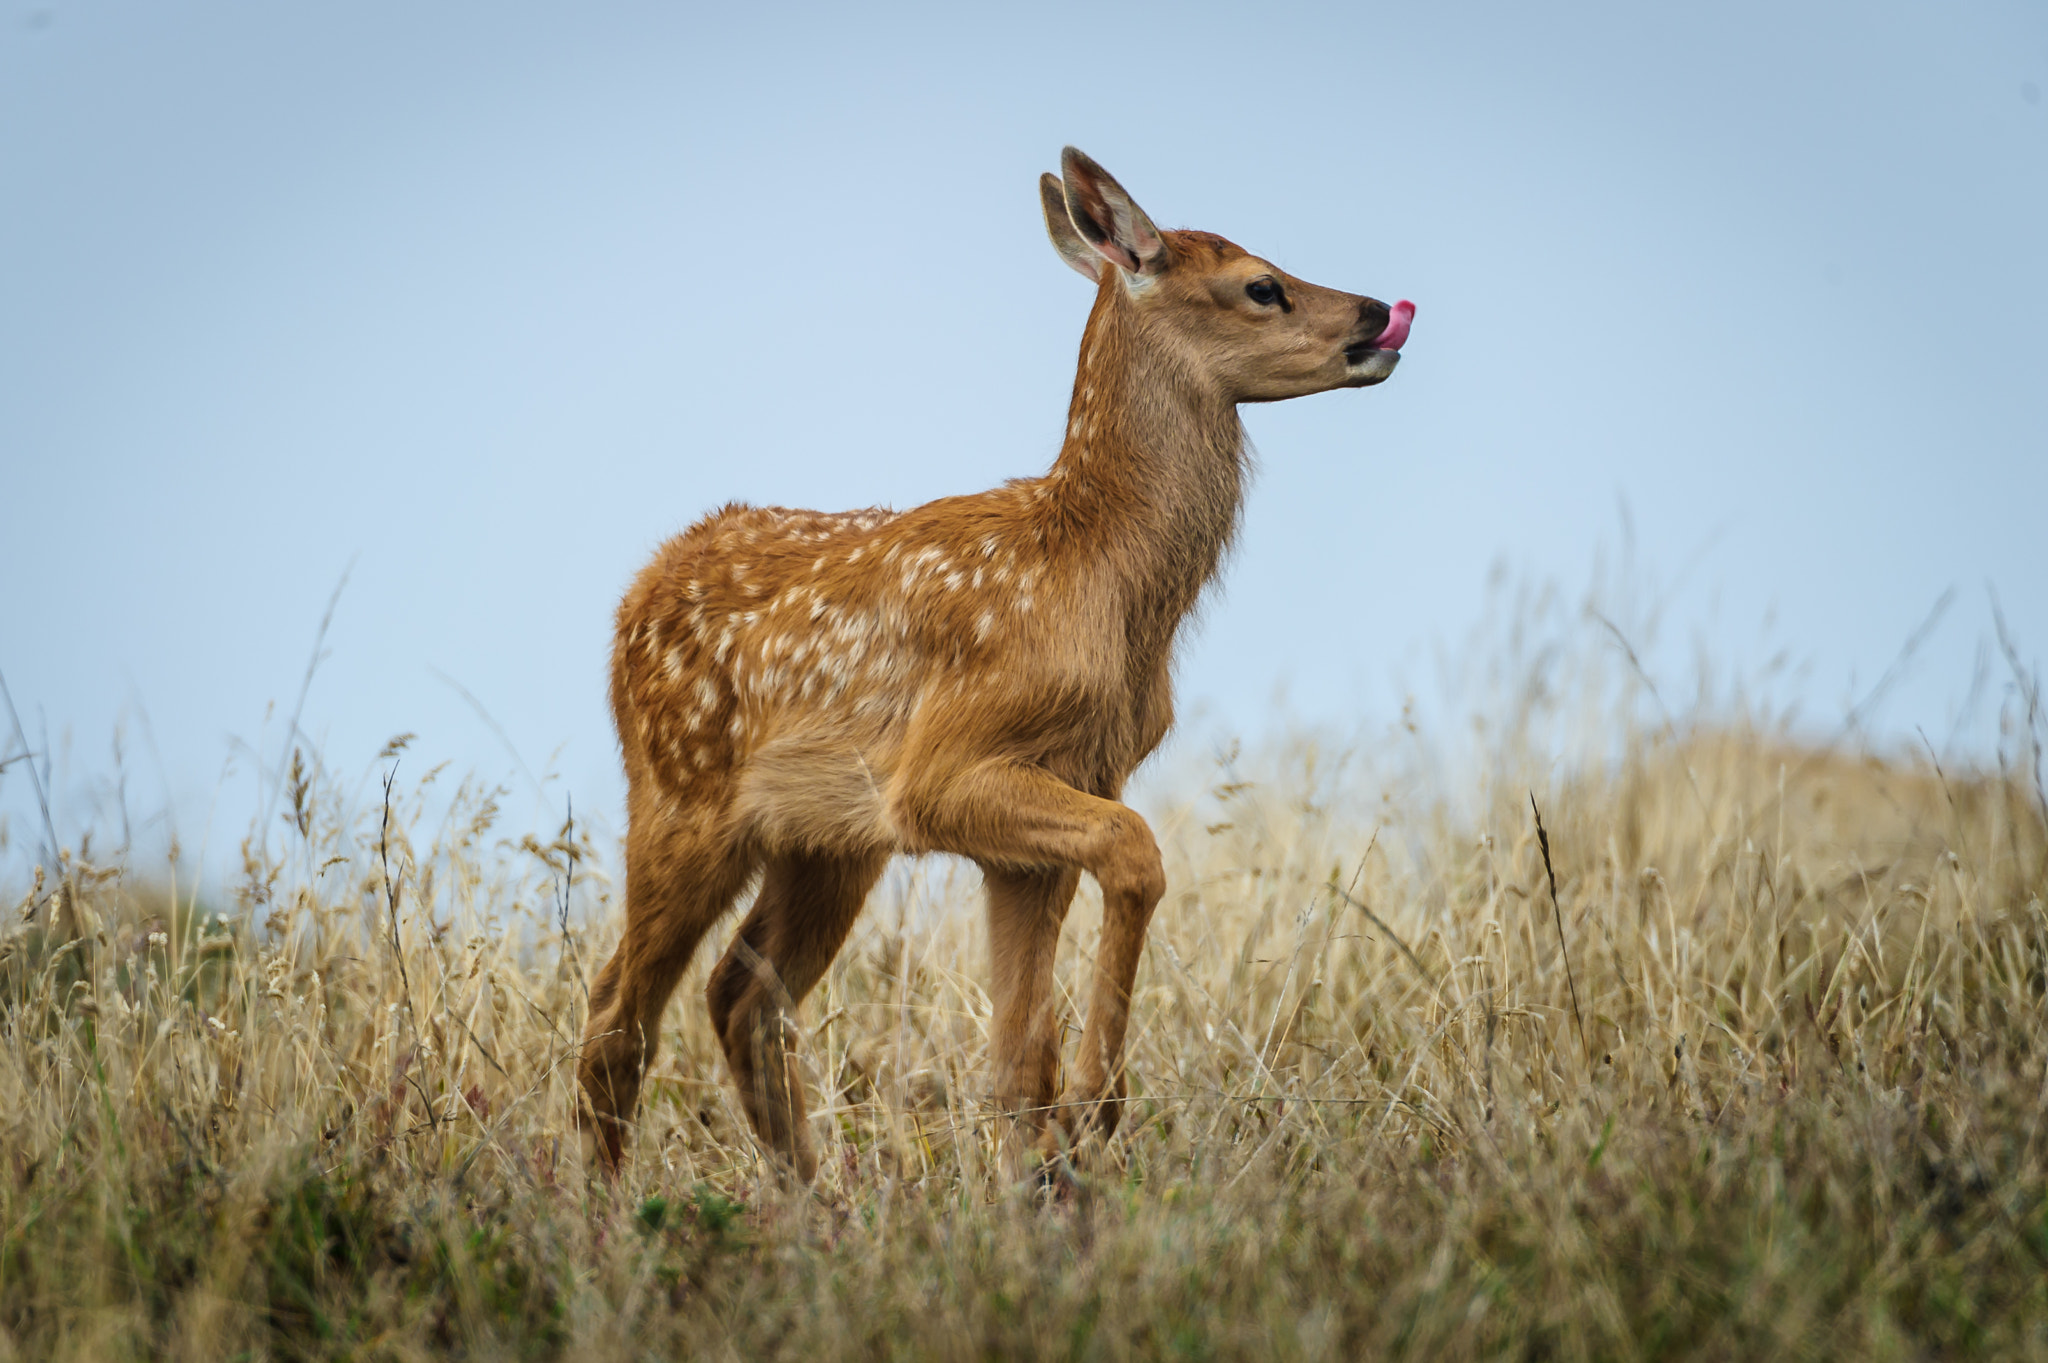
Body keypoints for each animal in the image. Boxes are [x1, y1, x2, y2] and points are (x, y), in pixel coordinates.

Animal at [576, 147, 1414, 1183]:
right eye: (1262, 284)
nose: (1378, 314)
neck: (1097, 576)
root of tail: (638, 591)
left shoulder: (1060, 794)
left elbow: (1018, 1061)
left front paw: (1053, 1173)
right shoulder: (942, 772)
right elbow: (1137, 853)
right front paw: (1101, 1100)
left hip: (826, 841)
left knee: (743, 994)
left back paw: (815, 1200)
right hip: (681, 794)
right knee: (617, 1012)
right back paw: (613, 1209)